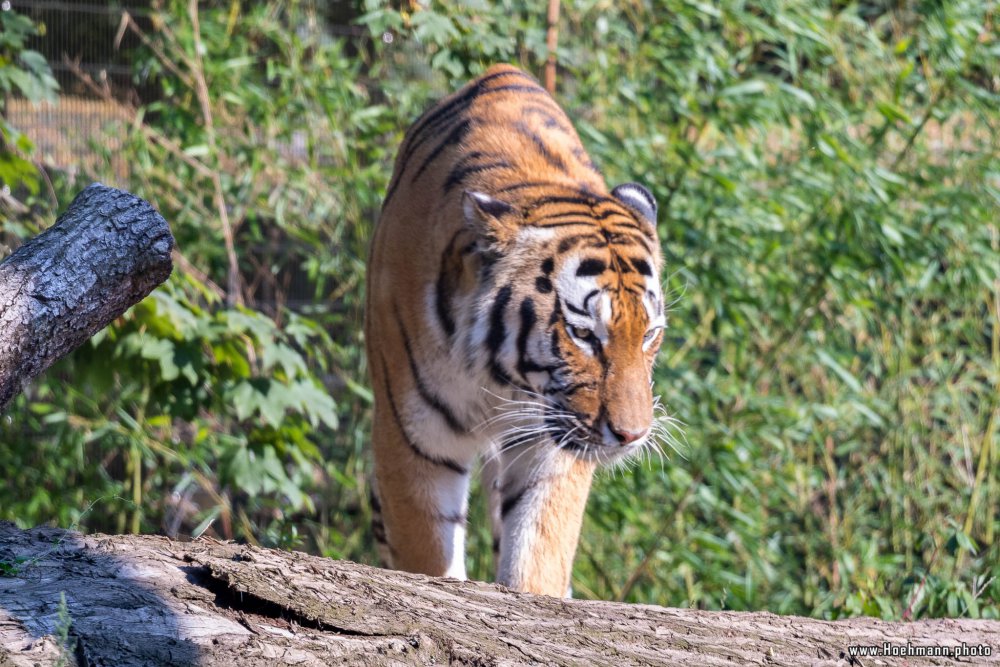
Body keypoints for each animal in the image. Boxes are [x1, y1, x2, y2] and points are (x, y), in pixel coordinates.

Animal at [366, 65, 664, 596]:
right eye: (584, 335)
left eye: (648, 335)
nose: (632, 436)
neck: (501, 377)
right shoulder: (414, 439)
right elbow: (427, 556)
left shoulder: (555, 445)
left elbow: (538, 551)